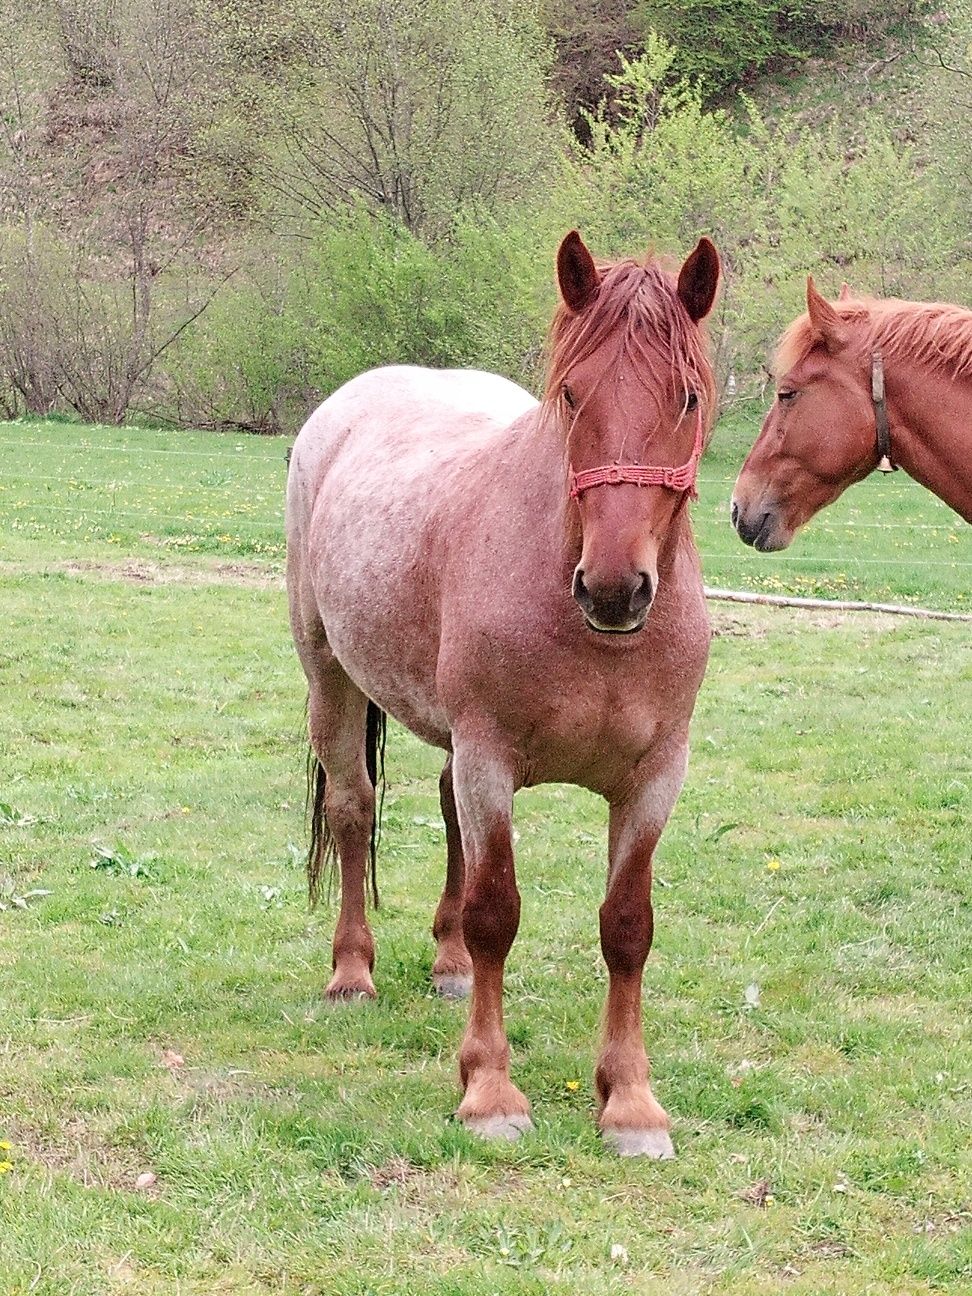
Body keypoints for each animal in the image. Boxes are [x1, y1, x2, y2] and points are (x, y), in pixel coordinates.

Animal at [285, 230, 720, 1156]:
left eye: (689, 398)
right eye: (572, 393)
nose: (615, 588)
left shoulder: (655, 777)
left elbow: (628, 928)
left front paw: (630, 1101)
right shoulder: (492, 756)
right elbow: (497, 913)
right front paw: (488, 1089)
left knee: (447, 807)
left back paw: (447, 965)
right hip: (329, 676)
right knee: (353, 810)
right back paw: (352, 972)